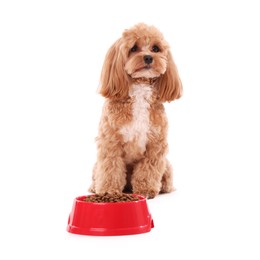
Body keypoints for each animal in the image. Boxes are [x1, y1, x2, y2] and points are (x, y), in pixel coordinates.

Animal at [89, 23, 183, 198]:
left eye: (155, 48)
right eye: (133, 48)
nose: (148, 57)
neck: (140, 89)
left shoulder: (155, 145)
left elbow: (148, 169)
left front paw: (146, 190)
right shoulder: (111, 142)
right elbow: (110, 168)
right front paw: (108, 191)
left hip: (166, 166)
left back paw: (164, 187)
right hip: (96, 165)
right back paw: (94, 187)